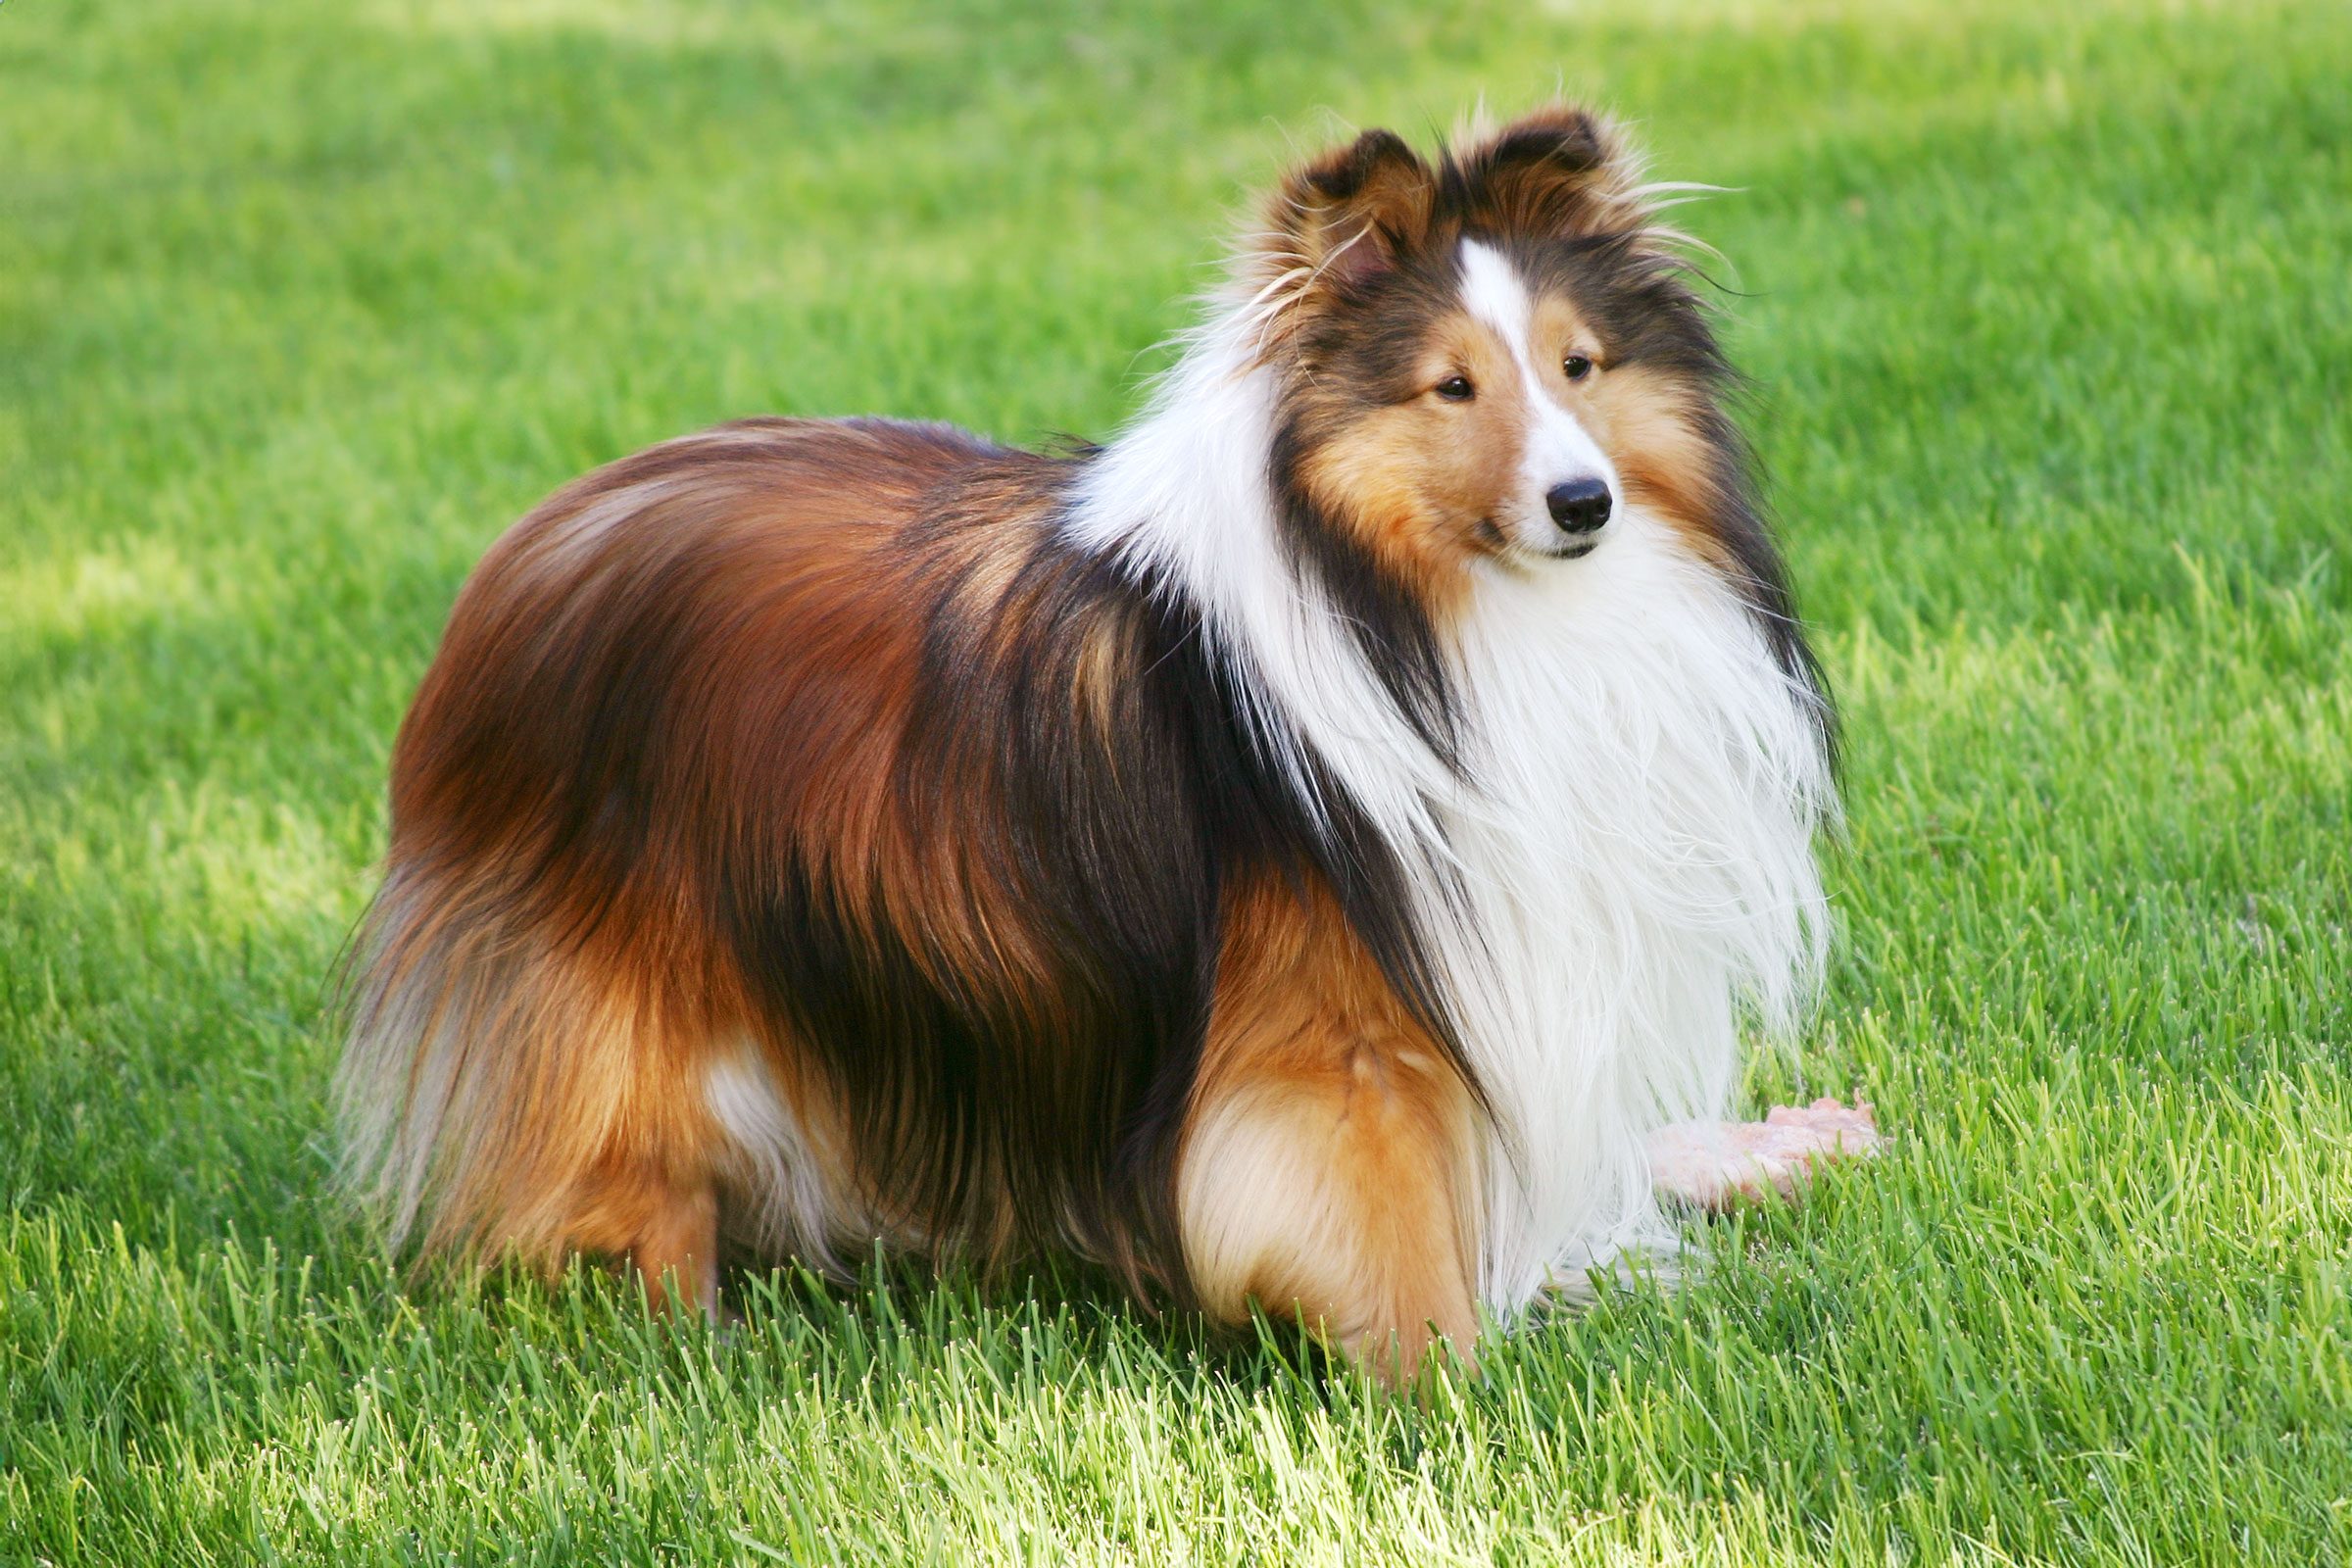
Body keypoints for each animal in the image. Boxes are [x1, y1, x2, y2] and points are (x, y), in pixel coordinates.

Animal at [336, 110, 1872, 1382]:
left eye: (1578, 366)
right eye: (1451, 389)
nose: (1582, 502)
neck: (1433, 618)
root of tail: (522, 555)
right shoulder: (1336, 1045)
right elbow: (1394, 1228)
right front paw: (1458, 1395)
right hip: (634, 983)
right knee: (625, 1173)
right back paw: (687, 1326)